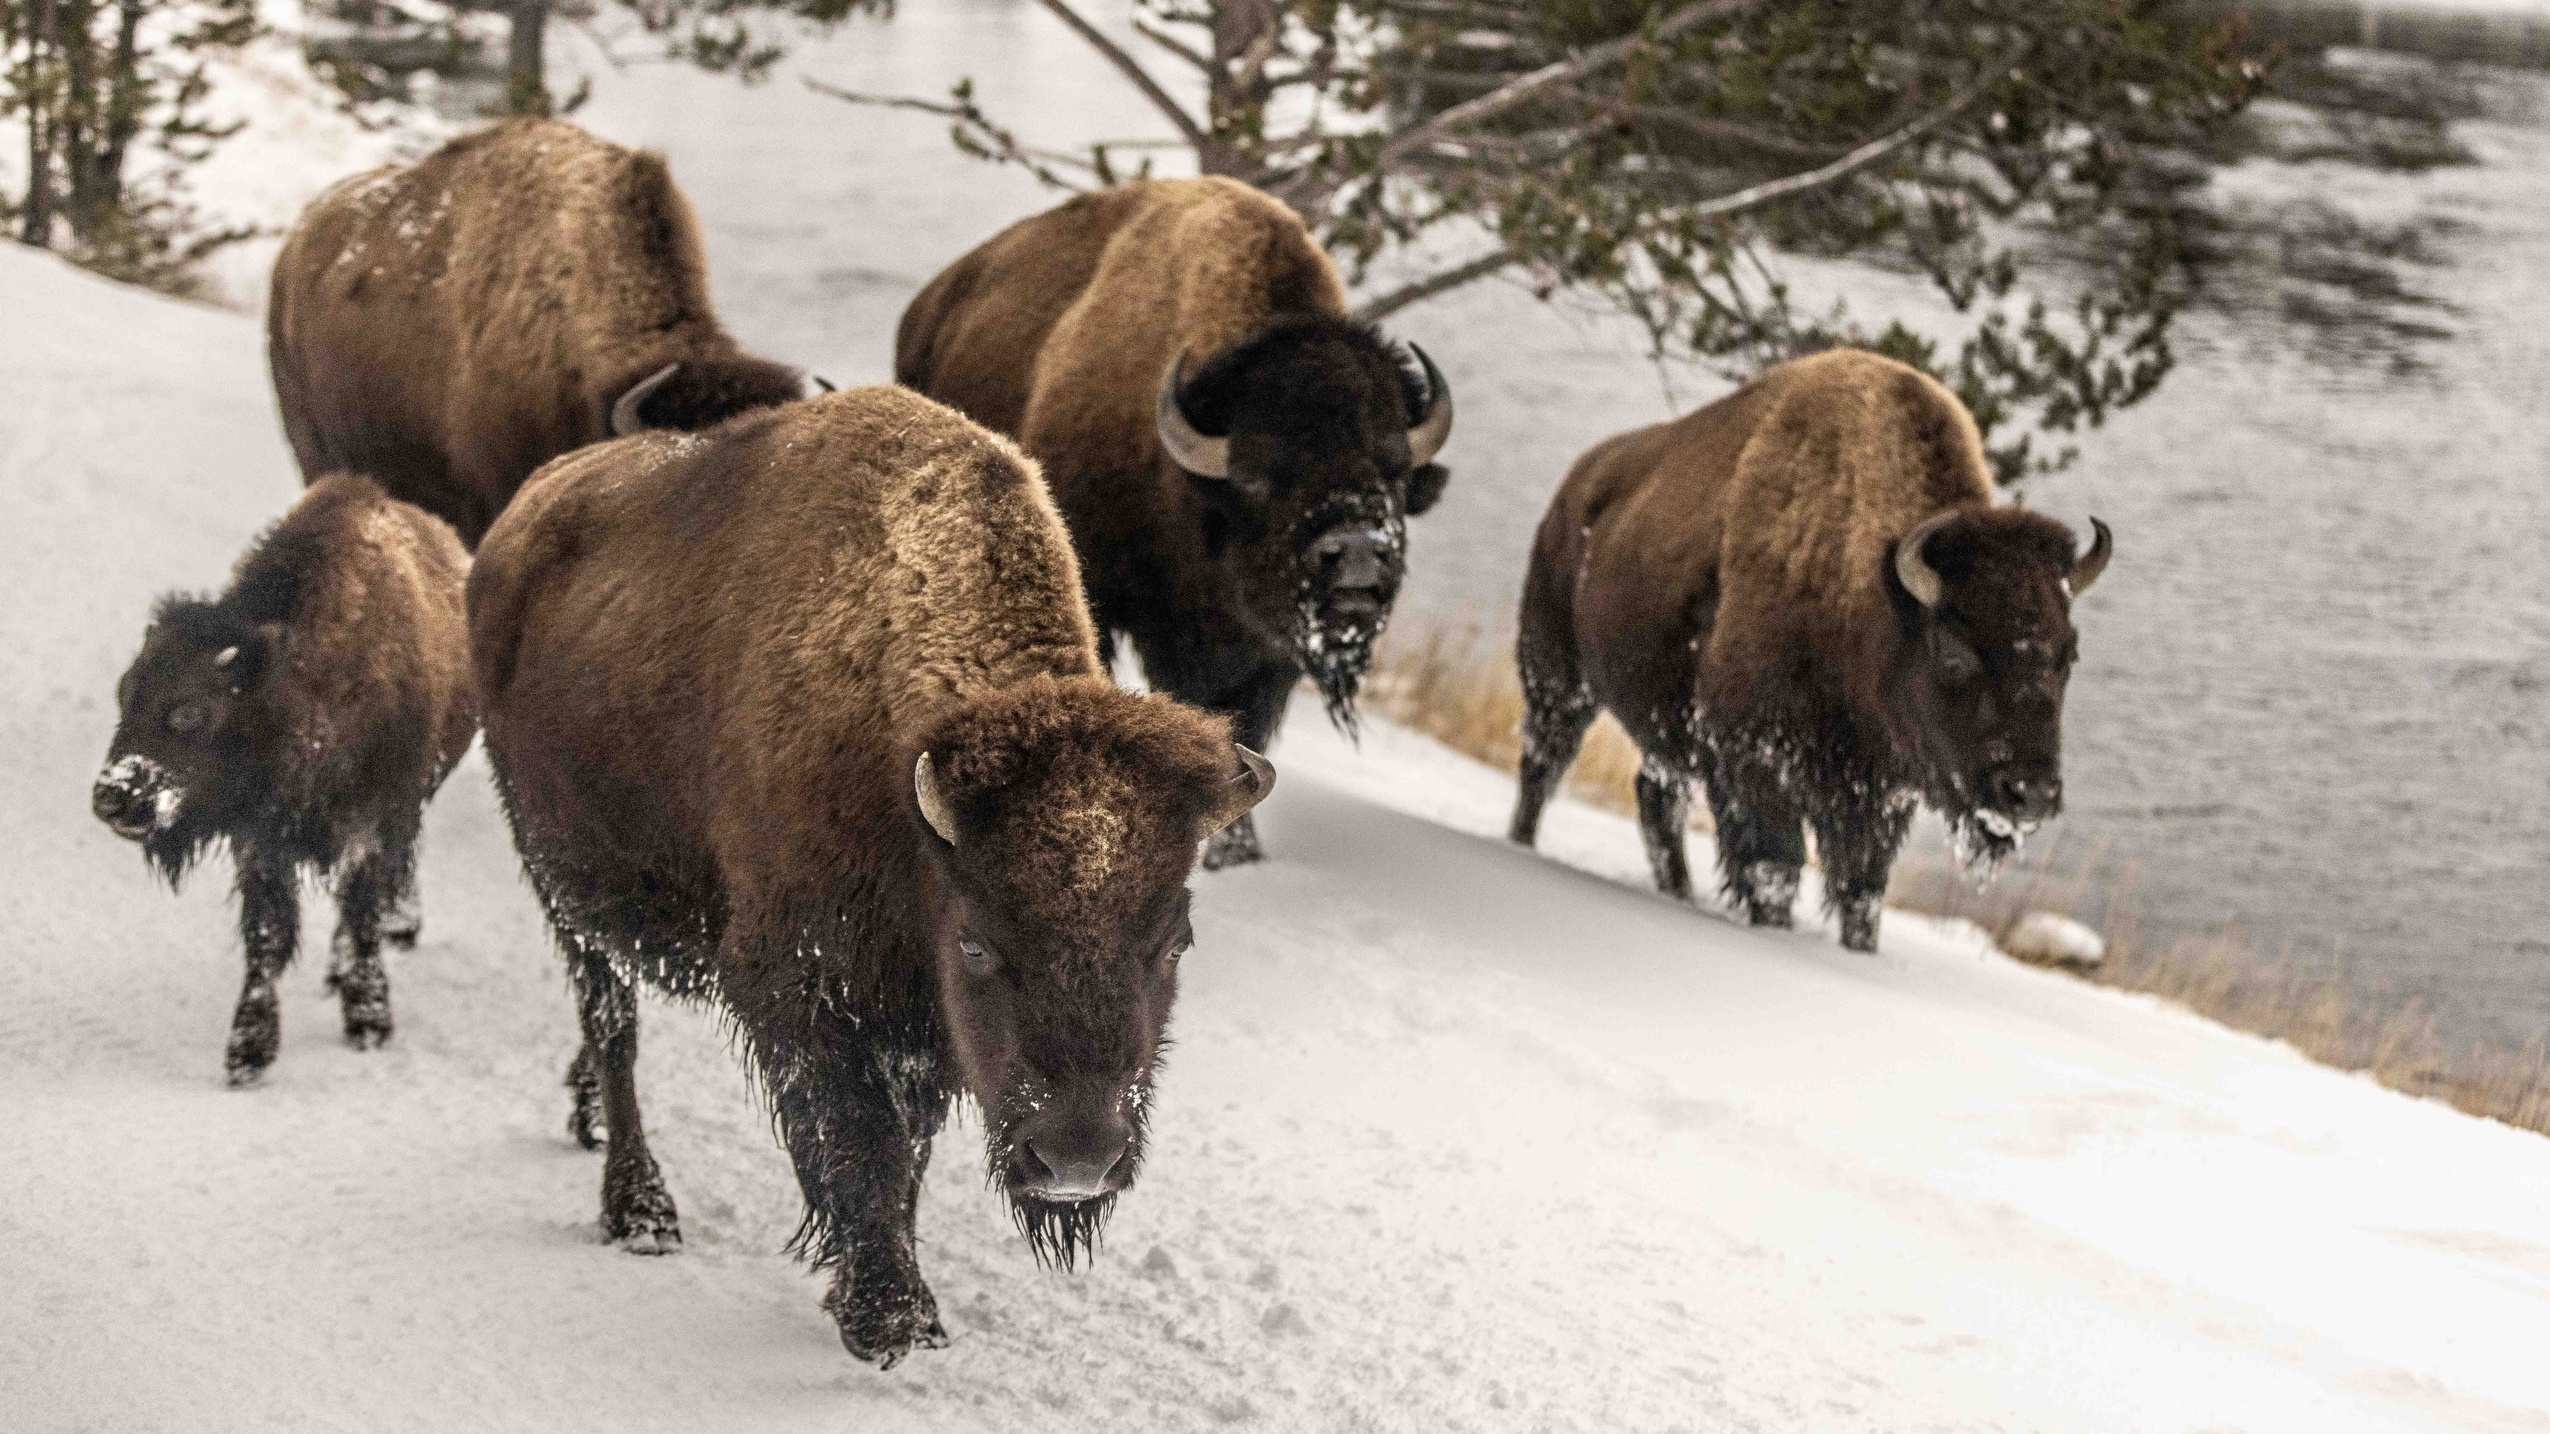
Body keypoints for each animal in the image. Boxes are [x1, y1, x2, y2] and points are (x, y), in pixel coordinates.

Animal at [89, 474, 479, 1076]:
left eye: (189, 711)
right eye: (125, 694)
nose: (112, 796)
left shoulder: (373, 824)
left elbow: (362, 918)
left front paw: (368, 1024)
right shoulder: (260, 842)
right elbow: (267, 936)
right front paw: (247, 1052)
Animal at [469, 380, 1275, 1357]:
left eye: (1174, 942)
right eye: (978, 945)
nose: (1077, 1159)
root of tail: (521, 514)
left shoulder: (919, 1026)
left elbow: (908, 1149)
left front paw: (906, 1303)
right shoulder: (802, 987)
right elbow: (858, 1141)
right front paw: (885, 1313)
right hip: (565, 888)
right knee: (612, 1024)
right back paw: (640, 1210)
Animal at [897, 178, 1458, 872]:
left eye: (1395, 472)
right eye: (1260, 475)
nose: (1357, 553)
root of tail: (930, 304)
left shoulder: (1265, 657)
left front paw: (1235, 851)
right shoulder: (1111, 604)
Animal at [1509, 347, 2111, 949]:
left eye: (2069, 654)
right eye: (1954, 651)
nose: (2030, 794)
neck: (1868, 589)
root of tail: (1576, 486)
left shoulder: (1879, 792)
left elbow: (1862, 887)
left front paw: (1859, 952)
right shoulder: (1755, 758)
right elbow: (1776, 868)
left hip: (1662, 733)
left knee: (1655, 796)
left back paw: (1677, 892)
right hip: (1558, 676)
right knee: (1544, 761)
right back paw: (1522, 845)